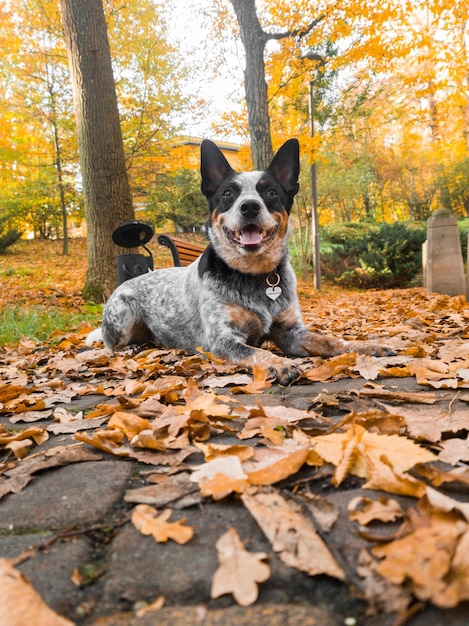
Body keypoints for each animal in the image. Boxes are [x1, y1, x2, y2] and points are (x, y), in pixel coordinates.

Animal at [88, 139, 392, 382]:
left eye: (270, 192)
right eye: (227, 193)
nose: (249, 206)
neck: (256, 276)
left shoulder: (291, 333)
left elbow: (330, 340)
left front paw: (366, 346)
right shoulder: (221, 340)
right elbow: (254, 351)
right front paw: (278, 363)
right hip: (123, 314)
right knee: (110, 344)